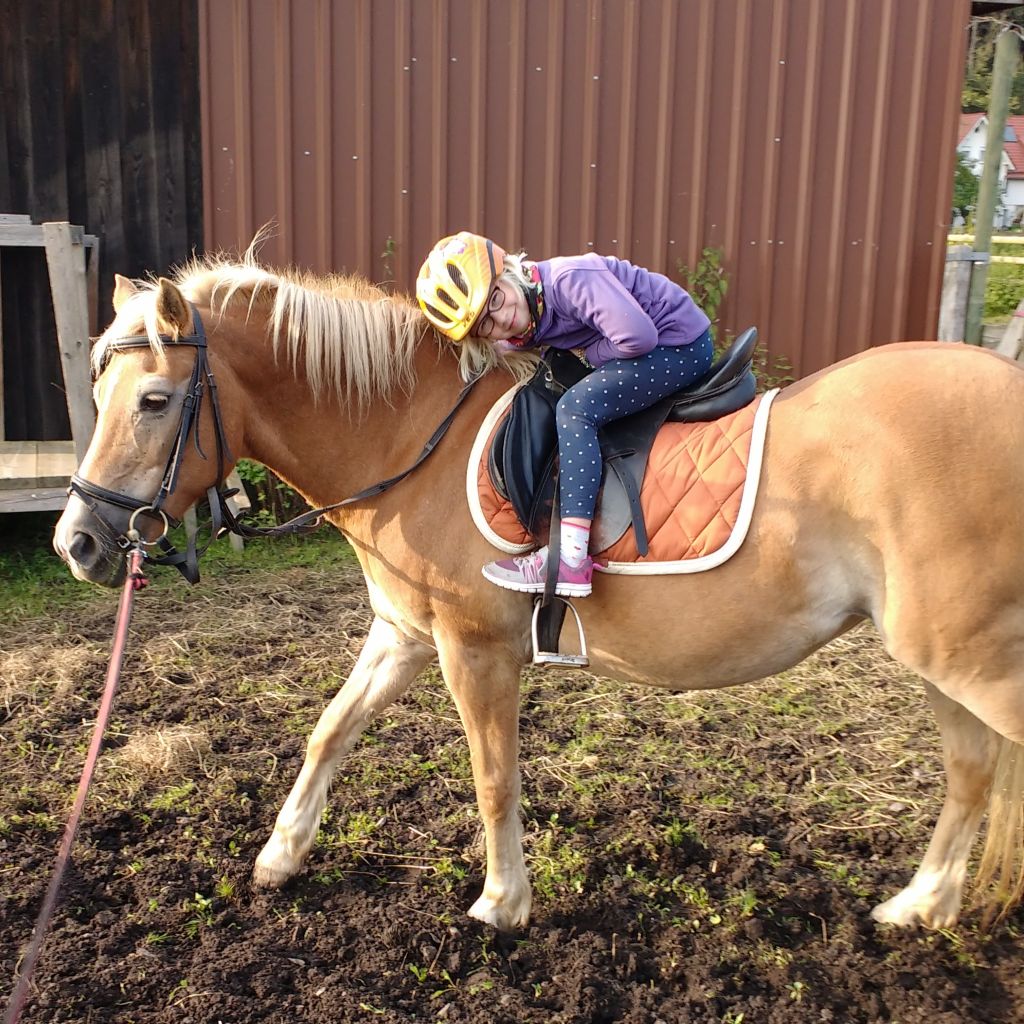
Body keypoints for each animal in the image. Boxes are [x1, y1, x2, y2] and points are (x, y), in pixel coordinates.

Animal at [52, 252, 1024, 933]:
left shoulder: (475, 651)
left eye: (153, 399)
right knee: (972, 774)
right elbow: (328, 732)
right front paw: (280, 856)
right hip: (944, 661)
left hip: (970, 662)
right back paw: (922, 907)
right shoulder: (403, 635)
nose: (78, 542)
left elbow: (493, 777)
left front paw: (502, 903)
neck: (414, 444)